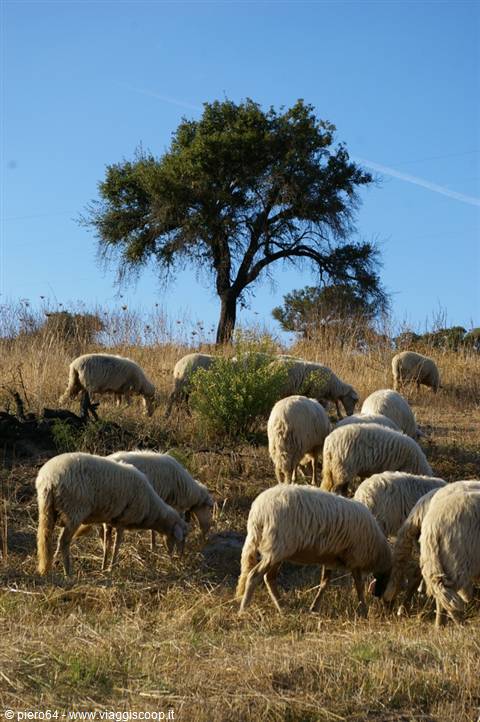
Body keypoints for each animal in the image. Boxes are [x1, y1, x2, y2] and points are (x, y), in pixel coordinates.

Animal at [36, 452, 187, 576]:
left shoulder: (109, 521)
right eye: (181, 537)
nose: (178, 558)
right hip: (74, 511)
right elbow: (116, 545)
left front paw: (104, 566)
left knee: (46, 538)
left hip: (48, 510)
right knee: (64, 541)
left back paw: (49, 566)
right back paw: (68, 573)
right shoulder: (122, 522)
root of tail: (49, 479)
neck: (151, 507)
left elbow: (107, 544)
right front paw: (112, 567)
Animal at [236, 484, 392, 615]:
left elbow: (324, 583)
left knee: (269, 578)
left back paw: (282, 608)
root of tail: (258, 512)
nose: (388, 609)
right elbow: (359, 586)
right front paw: (364, 610)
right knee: (254, 575)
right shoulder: (356, 558)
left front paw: (314, 608)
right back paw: (243, 609)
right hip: (277, 547)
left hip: (277, 550)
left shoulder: (330, 559)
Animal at [419, 481, 480, 626]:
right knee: (449, 595)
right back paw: (460, 624)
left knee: (441, 594)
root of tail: (432, 526)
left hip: (440, 562)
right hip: (457, 561)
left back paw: (439, 624)